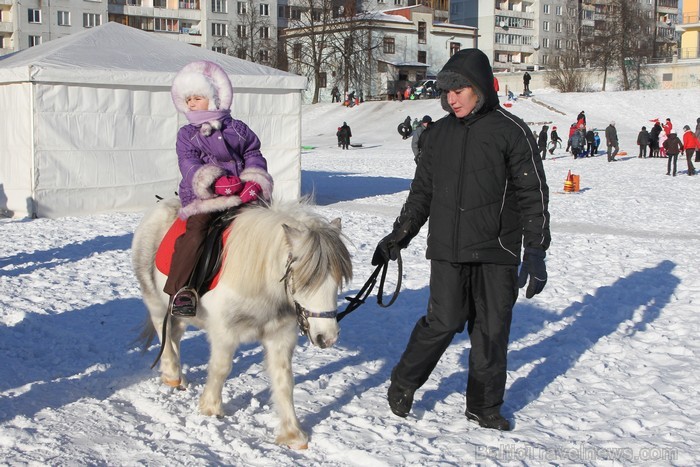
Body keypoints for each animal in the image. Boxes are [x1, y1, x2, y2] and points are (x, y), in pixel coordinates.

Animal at [131, 198, 350, 450]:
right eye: (305, 279)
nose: (328, 337)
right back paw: (171, 374)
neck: (262, 281)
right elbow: (221, 368)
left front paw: (293, 434)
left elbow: (284, 380)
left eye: (337, 279)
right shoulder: (224, 332)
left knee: (174, 335)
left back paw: (179, 378)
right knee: (163, 331)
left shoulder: (280, 335)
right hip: (155, 300)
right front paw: (210, 407)